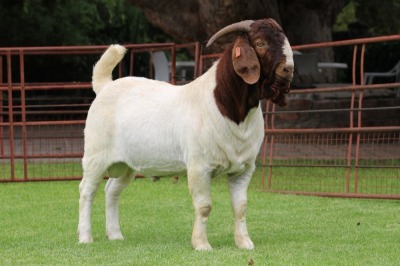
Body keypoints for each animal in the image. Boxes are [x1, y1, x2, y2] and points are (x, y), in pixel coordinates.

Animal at [78, 18, 296, 249]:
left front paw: (244, 243)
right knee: (86, 190)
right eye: (261, 43)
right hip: (95, 156)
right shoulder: (199, 166)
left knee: (112, 190)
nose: (288, 69)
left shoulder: (244, 168)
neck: (229, 110)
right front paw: (201, 244)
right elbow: (204, 206)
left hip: (126, 164)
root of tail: (105, 87)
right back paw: (85, 237)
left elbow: (241, 207)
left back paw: (115, 234)